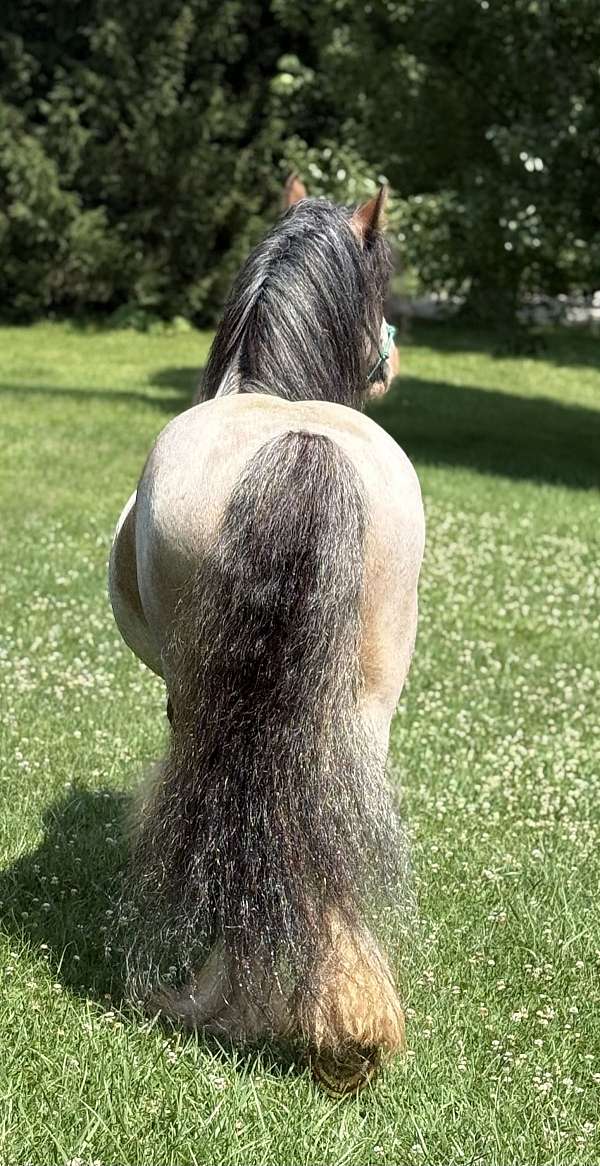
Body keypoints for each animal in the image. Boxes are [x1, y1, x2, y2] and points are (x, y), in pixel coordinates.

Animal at [108, 176, 425, 1093]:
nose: (394, 361)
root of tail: (300, 440)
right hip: (361, 709)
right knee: (324, 826)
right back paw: (345, 1026)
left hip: (209, 694)